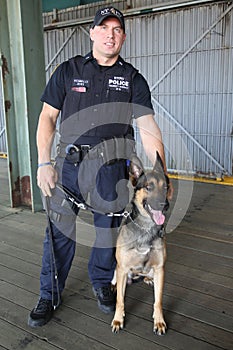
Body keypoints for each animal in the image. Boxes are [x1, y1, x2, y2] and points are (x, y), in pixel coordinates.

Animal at [111, 153, 169, 336]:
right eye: (148, 187)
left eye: (166, 187)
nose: (165, 205)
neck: (146, 228)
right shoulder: (122, 268)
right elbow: (120, 301)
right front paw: (118, 319)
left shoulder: (160, 269)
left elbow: (158, 300)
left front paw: (159, 321)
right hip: (119, 269)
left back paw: (148, 278)